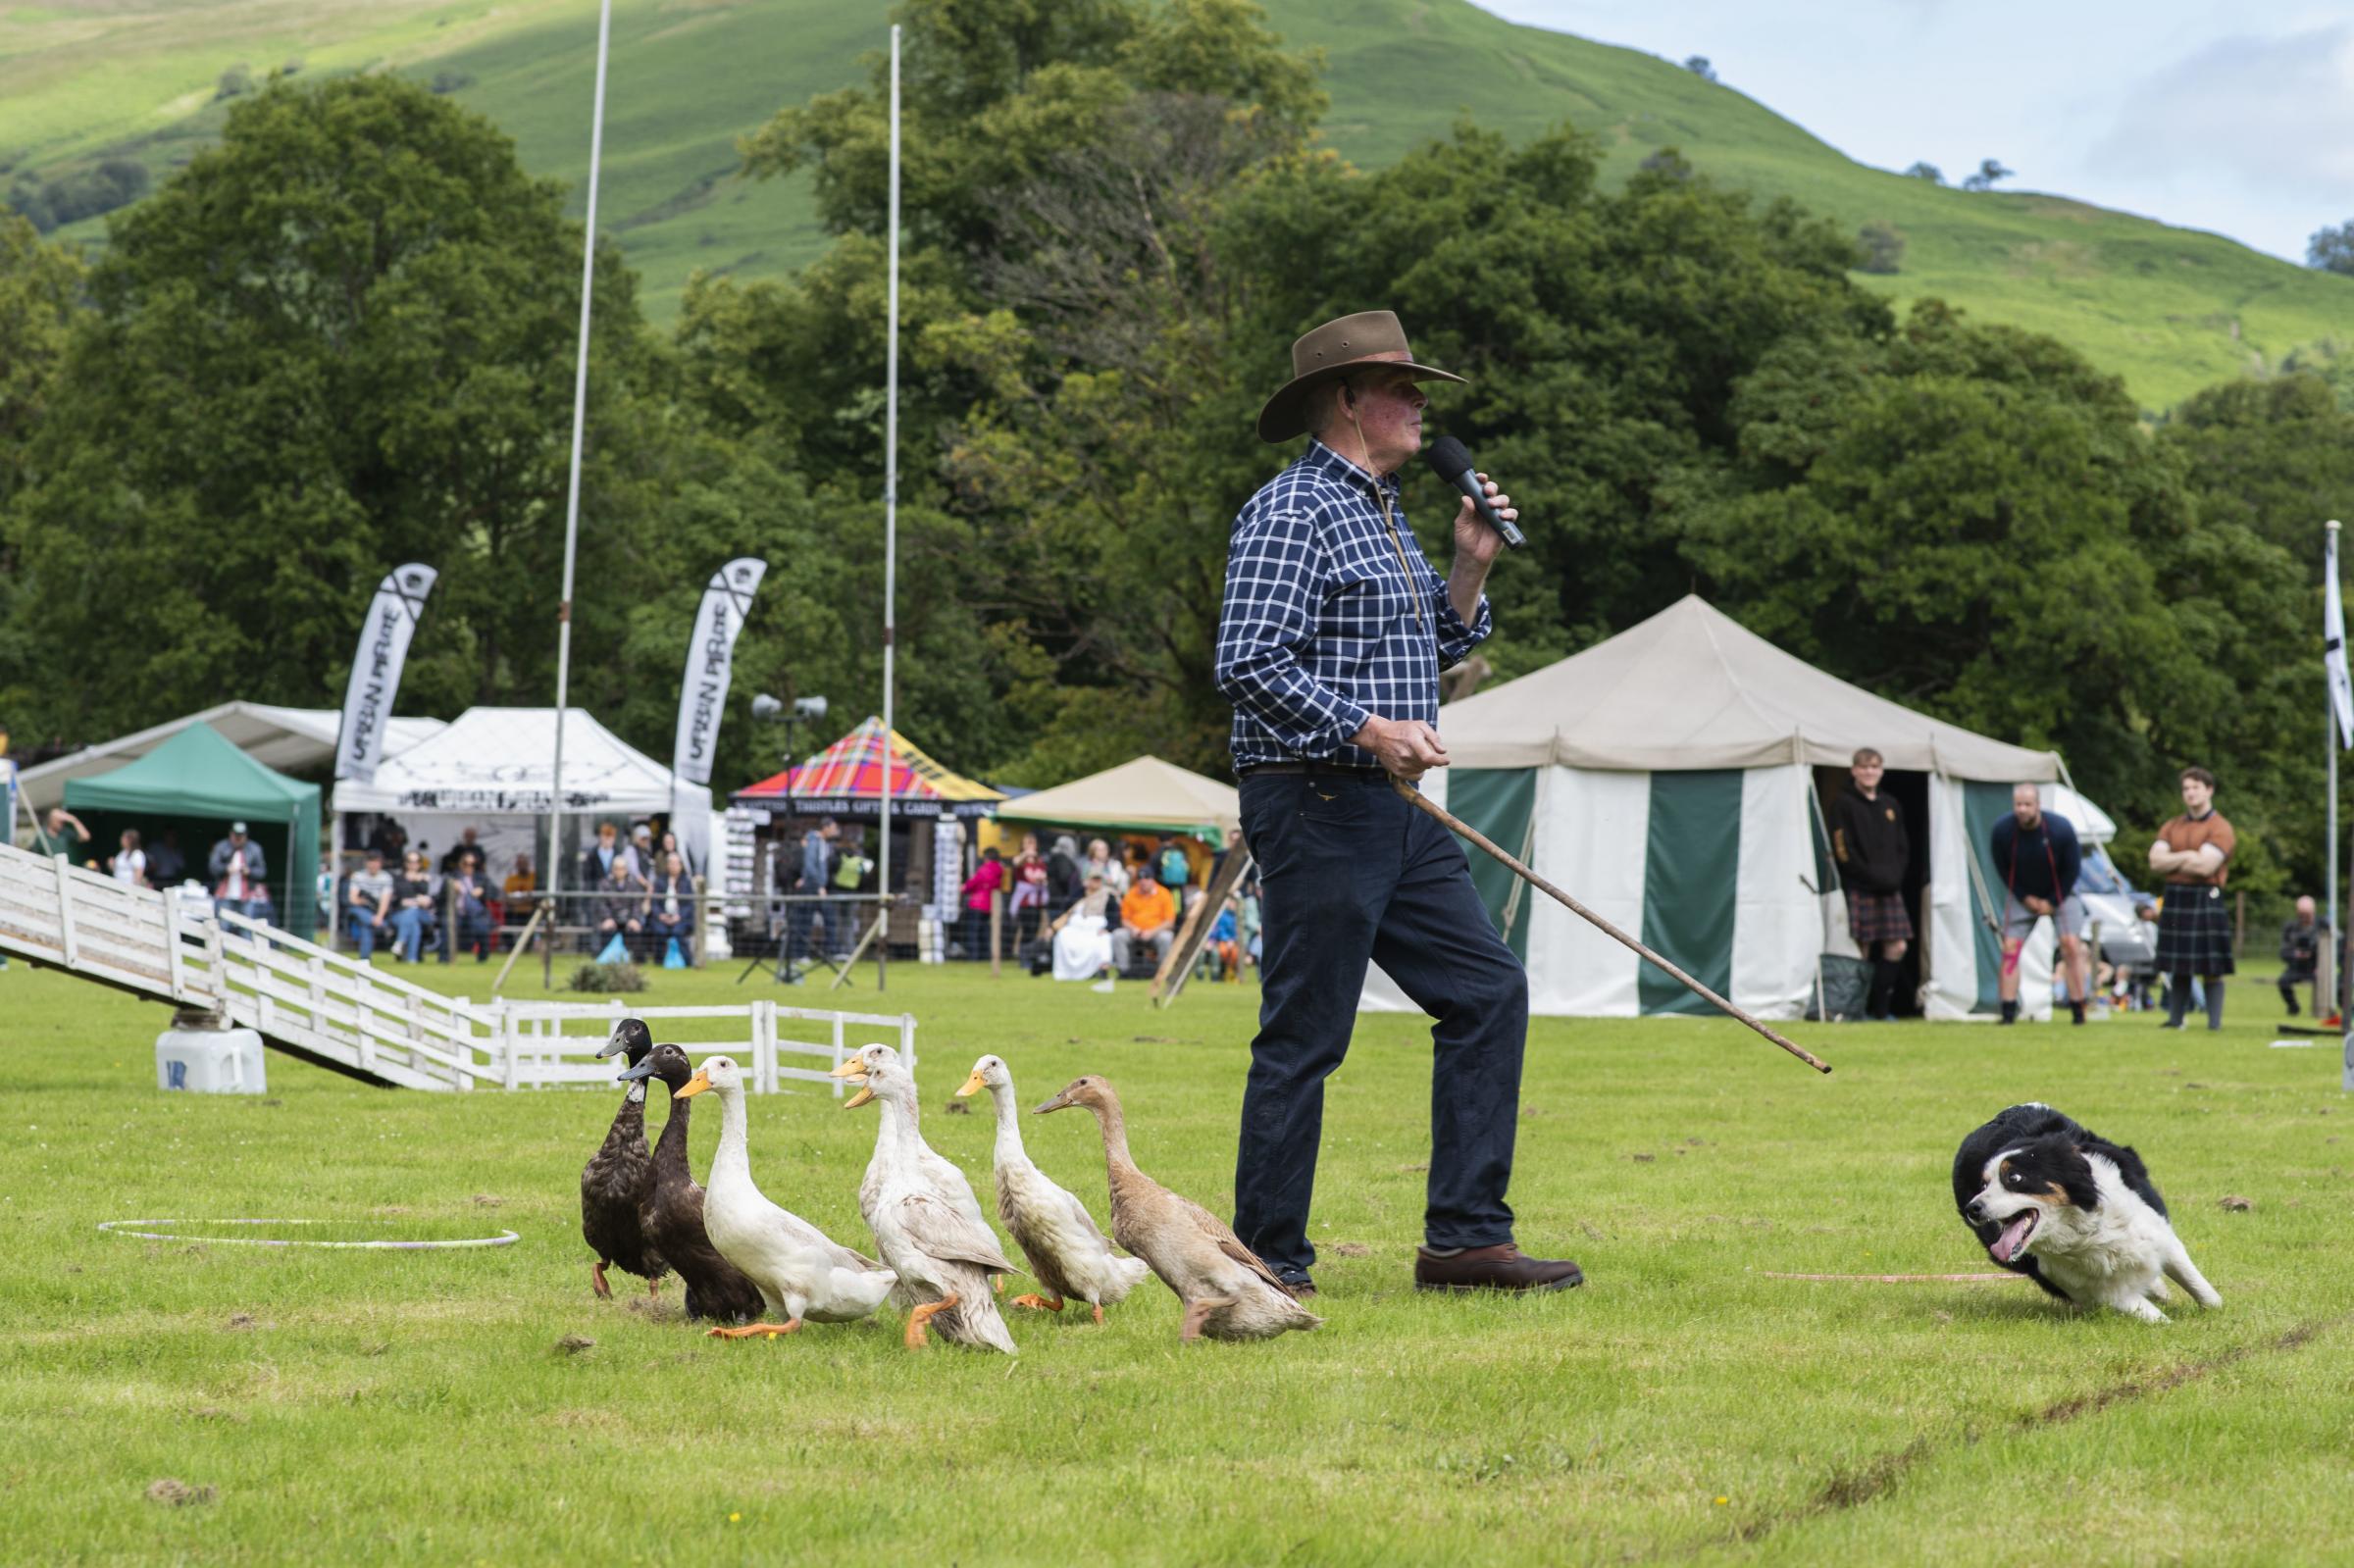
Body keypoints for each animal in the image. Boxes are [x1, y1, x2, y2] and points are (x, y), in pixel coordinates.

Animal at [1958, 1096, 2213, 1318]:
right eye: (1983, 1184)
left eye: (2014, 1178)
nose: (1973, 1209)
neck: (2086, 1229)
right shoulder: (2094, 1289)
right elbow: (2153, 1316)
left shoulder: (2158, 1234)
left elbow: (2204, 1291)